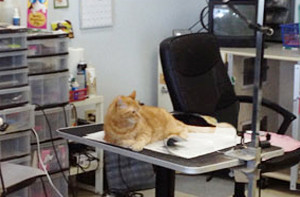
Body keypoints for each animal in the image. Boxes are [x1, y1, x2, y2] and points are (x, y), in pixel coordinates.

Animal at [104, 90, 236, 152]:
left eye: (139, 110)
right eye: (133, 112)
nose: (140, 117)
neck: (124, 127)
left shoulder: (146, 132)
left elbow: (140, 139)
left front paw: (136, 144)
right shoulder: (110, 139)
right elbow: (122, 141)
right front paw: (130, 141)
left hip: (174, 128)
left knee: (184, 130)